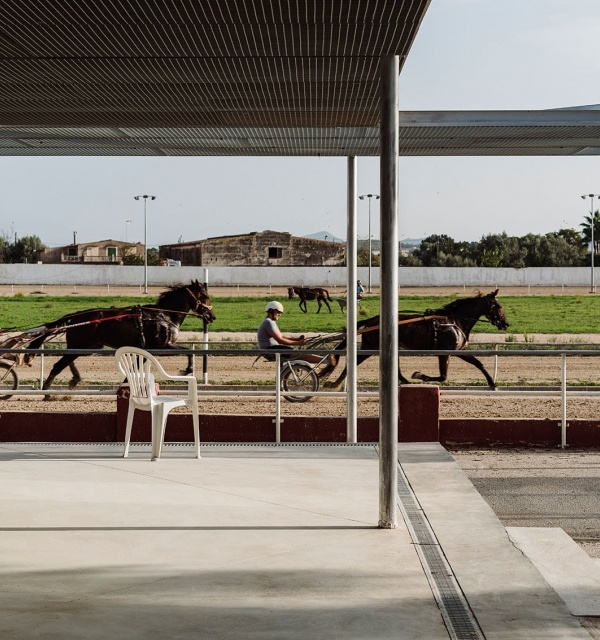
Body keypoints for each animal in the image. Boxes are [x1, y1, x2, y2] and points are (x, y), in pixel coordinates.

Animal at [24, 278, 216, 396]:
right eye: (205, 296)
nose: (212, 316)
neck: (164, 316)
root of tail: (77, 316)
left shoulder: (145, 349)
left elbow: (134, 369)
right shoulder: (161, 346)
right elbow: (188, 351)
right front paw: (186, 370)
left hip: (88, 346)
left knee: (67, 361)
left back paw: (73, 380)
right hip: (80, 344)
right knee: (58, 365)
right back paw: (47, 392)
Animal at [322, 290, 508, 390]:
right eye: (498, 306)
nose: (506, 323)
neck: (455, 321)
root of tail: (372, 320)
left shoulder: (459, 351)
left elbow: (478, 363)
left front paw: (492, 383)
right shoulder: (445, 351)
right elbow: (443, 376)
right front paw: (419, 375)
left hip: (374, 345)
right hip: (371, 346)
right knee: (353, 362)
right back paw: (335, 384)